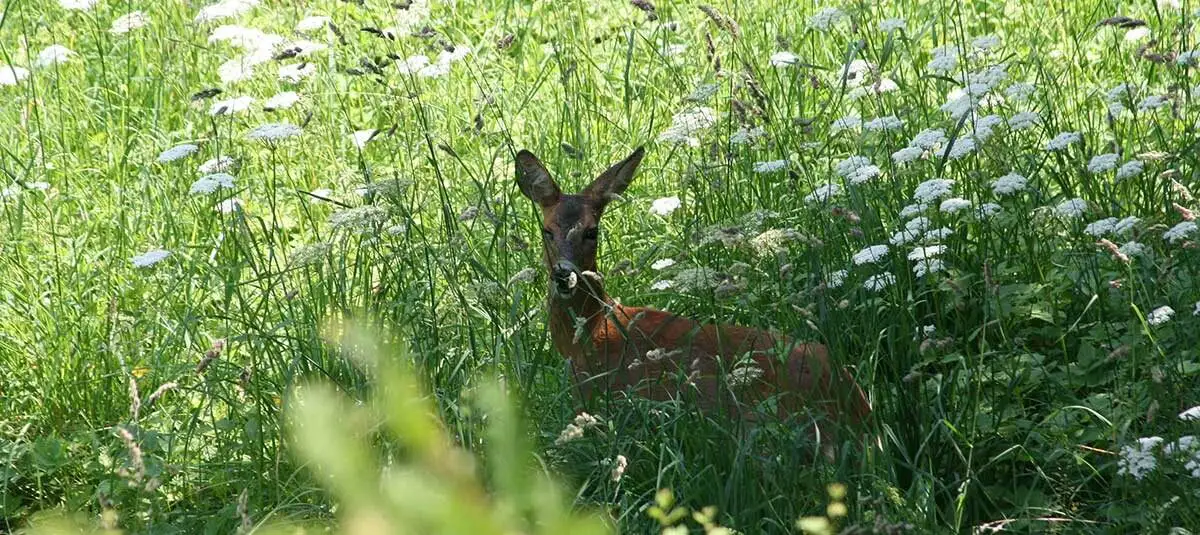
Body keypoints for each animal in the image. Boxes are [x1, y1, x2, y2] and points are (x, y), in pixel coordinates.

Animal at [514, 146, 872, 454]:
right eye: (546, 231)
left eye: (592, 231)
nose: (564, 274)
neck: (592, 331)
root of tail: (861, 411)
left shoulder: (593, 397)